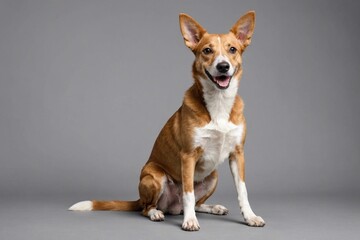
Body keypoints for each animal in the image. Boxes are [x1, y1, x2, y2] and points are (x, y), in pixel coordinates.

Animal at [69, 10, 264, 231]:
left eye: (232, 49)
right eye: (207, 50)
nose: (223, 66)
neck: (219, 102)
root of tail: (173, 207)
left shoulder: (237, 154)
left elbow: (242, 191)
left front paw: (250, 217)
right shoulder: (188, 156)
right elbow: (188, 193)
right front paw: (190, 221)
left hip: (213, 176)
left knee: (198, 203)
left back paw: (212, 207)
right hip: (154, 175)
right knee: (149, 207)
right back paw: (157, 213)